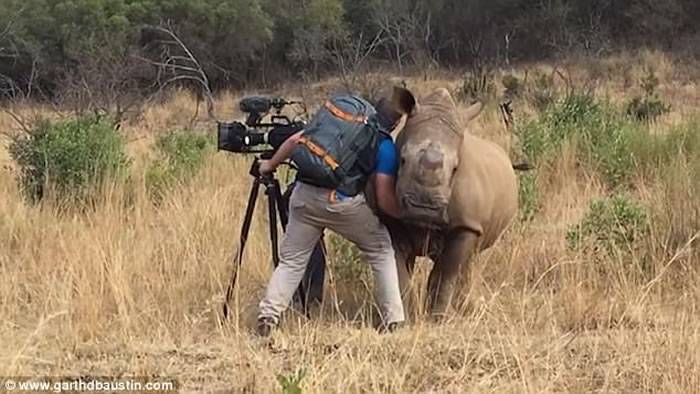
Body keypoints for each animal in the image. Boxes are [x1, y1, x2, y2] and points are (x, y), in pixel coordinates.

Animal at [366, 86, 520, 318]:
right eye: (402, 160)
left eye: (456, 169)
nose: (424, 210)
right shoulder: (391, 220)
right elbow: (399, 268)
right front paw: (406, 315)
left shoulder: (466, 224)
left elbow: (446, 273)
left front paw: (439, 318)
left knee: (467, 259)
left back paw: (464, 308)